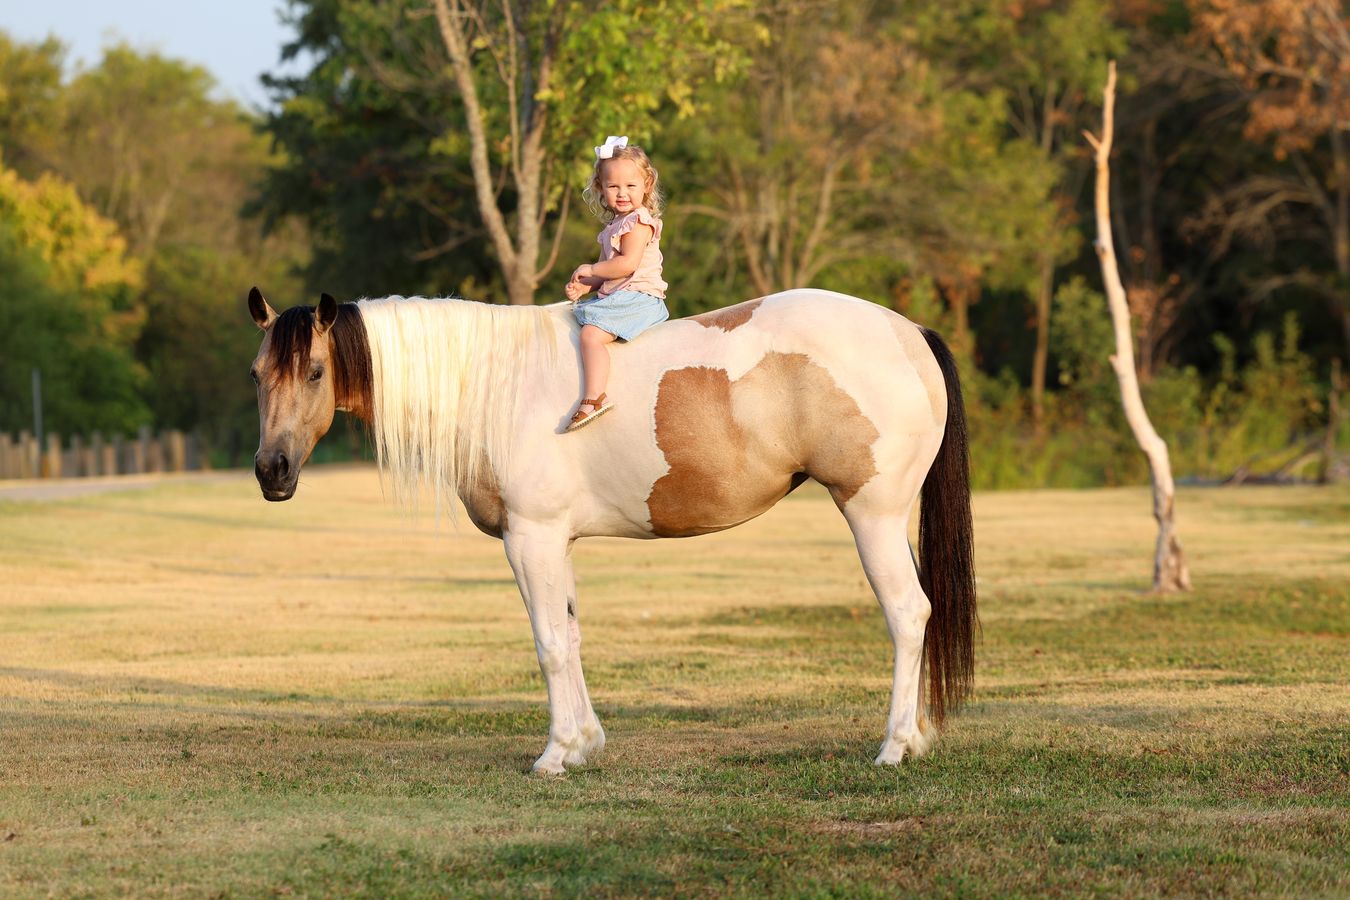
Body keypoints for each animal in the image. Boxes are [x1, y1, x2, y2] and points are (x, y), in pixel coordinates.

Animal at [247, 286, 976, 774]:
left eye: (315, 371)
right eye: (257, 375)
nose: (271, 472)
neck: (492, 385)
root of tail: (908, 331)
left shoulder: (532, 539)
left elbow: (548, 645)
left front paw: (555, 754)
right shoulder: (557, 543)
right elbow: (571, 636)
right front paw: (585, 743)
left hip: (871, 514)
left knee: (908, 614)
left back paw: (892, 747)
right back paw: (915, 738)